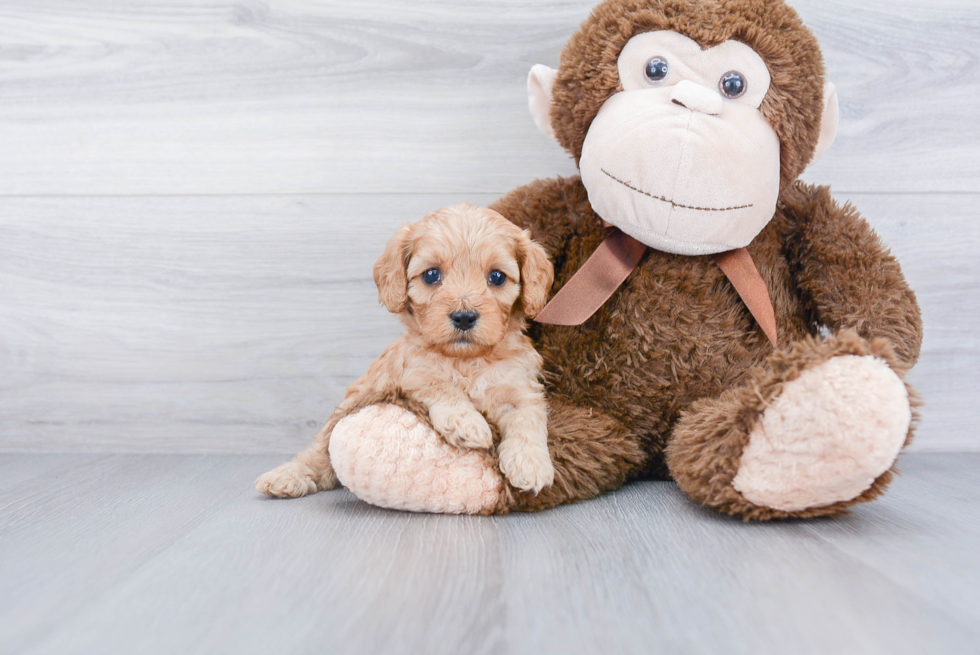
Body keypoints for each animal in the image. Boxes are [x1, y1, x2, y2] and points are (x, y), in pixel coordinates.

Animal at [256, 205, 556, 502]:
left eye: (497, 277)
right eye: (431, 275)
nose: (464, 317)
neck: (467, 360)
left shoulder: (520, 389)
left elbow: (528, 418)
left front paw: (531, 465)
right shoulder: (412, 373)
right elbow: (442, 386)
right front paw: (467, 423)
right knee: (319, 453)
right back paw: (287, 476)